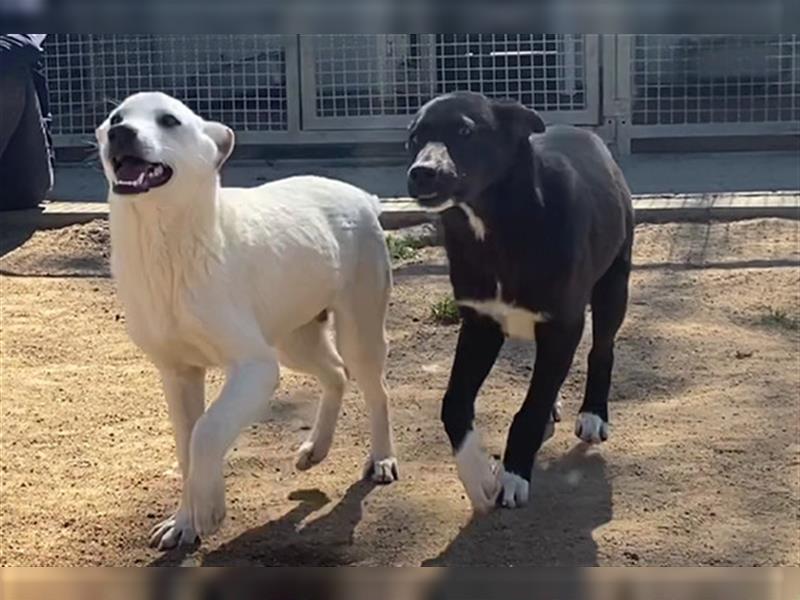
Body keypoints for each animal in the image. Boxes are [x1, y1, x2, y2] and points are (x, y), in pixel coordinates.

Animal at [98, 92, 398, 548]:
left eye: (169, 120)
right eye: (116, 118)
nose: (120, 134)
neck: (167, 245)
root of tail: (364, 196)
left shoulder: (255, 367)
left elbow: (206, 433)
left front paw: (209, 511)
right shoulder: (178, 373)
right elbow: (186, 448)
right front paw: (185, 522)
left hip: (356, 332)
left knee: (375, 388)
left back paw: (381, 459)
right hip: (294, 341)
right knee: (335, 373)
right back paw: (317, 447)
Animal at [410, 92, 636, 510]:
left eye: (465, 131)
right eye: (414, 137)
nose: (421, 172)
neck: (494, 227)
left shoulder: (563, 325)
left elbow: (529, 411)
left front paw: (513, 474)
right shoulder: (480, 325)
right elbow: (454, 403)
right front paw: (477, 476)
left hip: (614, 286)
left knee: (602, 350)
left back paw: (593, 413)